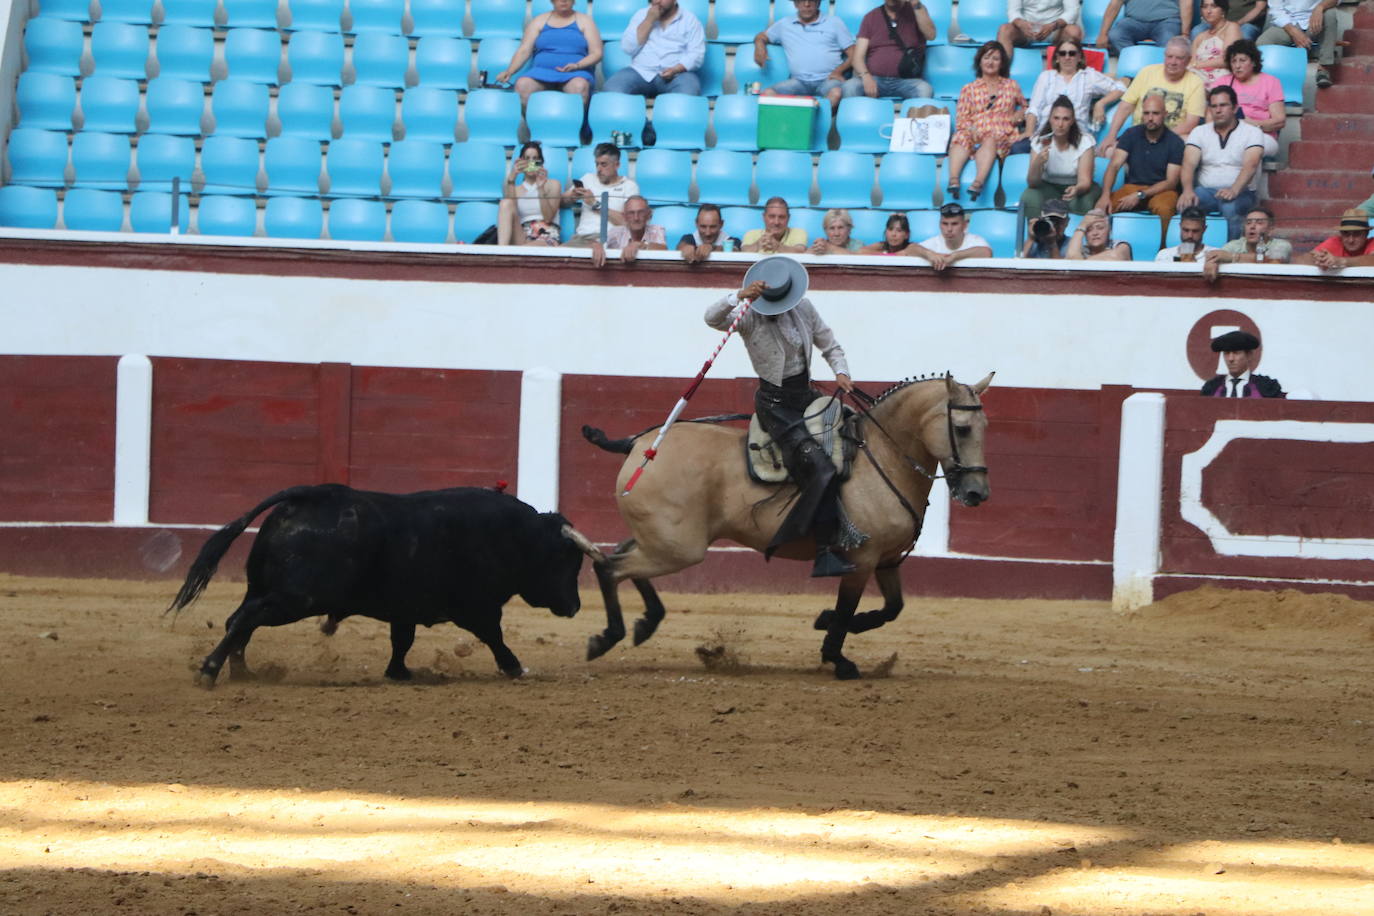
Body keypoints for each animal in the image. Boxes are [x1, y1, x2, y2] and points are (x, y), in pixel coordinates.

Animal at [163, 486, 604, 686]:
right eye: (566, 560)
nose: (575, 606)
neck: (516, 537)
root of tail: (308, 497)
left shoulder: (405, 608)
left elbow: (401, 641)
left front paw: (399, 673)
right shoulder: (476, 608)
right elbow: (495, 637)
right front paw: (515, 667)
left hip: (266, 589)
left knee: (239, 619)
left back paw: (242, 671)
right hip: (297, 598)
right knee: (247, 618)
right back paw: (211, 670)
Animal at [577, 373, 989, 681]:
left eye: (985, 426)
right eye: (962, 428)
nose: (976, 492)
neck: (882, 457)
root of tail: (638, 444)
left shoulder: (886, 560)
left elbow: (892, 608)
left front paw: (826, 622)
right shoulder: (860, 559)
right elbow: (847, 609)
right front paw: (839, 659)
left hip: (661, 539)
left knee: (619, 556)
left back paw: (645, 623)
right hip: (678, 547)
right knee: (609, 567)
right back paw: (607, 637)